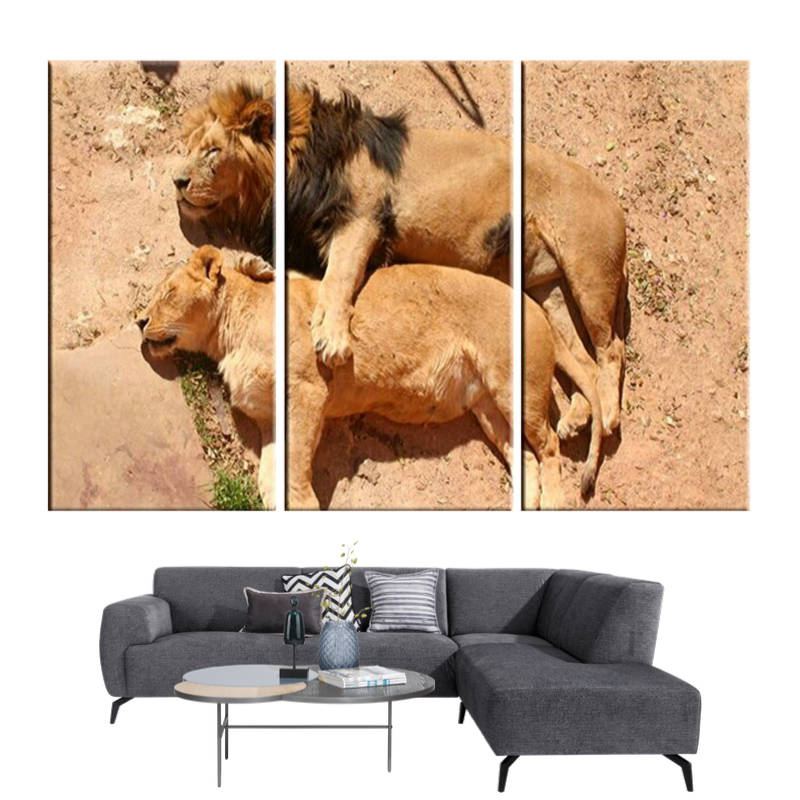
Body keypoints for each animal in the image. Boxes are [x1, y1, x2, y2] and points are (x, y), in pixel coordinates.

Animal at [138, 246, 602, 510]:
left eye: (168, 293)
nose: (140, 320)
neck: (227, 336)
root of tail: (536, 306)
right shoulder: (271, 418)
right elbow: (269, 475)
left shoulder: (306, 391)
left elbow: (294, 464)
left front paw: (301, 504)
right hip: (487, 409)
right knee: (525, 455)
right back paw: (527, 501)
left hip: (514, 386)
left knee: (549, 444)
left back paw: (553, 502)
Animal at [174, 82, 627, 441]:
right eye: (188, 149)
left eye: (212, 151)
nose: (177, 180)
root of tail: (614, 200)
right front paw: (254, 267)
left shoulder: (363, 219)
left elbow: (339, 278)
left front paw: (332, 337)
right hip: (545, 290)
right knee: (580, 358)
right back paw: (578, 417)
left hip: (589, 274)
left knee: (611, 349)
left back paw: (607, 417)